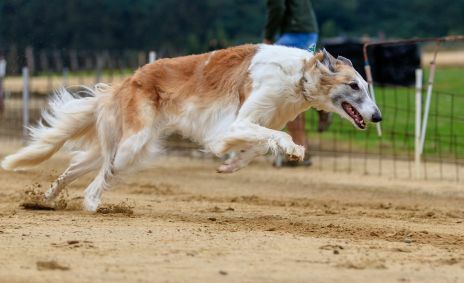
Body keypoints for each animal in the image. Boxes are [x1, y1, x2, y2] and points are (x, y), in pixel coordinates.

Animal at [1, 44, 382, 212]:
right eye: (354, 86)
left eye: (367, 86)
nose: (378, 117)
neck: (299, 76)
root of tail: (128, 79)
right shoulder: (235, 125)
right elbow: (278, 138)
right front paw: (293, 149)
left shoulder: (252, 125)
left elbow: (259, 145)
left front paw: (231, 165)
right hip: (131, 147)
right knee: (97, 182)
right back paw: (94, 206)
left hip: (121, 146)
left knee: (73, 168)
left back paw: (44, 200)